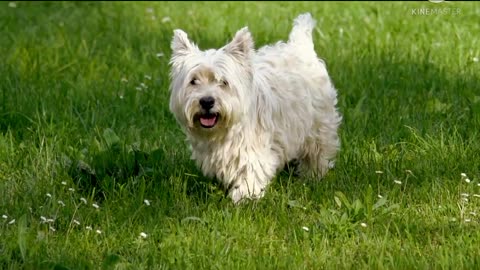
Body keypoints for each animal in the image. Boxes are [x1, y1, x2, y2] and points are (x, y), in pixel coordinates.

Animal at [169, 12, 342, 202]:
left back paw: (313, 176)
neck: (222, 132)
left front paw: (244, 197)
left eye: (224, 82)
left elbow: (250, 172)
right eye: (193, 81)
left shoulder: (252, 150)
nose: (207, 101)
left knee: (319, 152)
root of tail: (300, 46)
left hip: (318, 125)